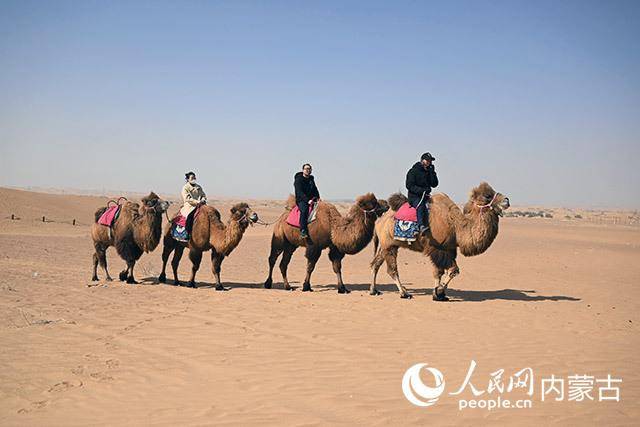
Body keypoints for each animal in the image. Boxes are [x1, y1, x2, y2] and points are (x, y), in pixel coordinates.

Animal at [262, 194, 390, 294]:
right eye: (373, 203)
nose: (387, 204)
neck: (332, 227)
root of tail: (282, 217)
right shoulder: (314, 246)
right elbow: (310, 266)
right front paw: (306, 286)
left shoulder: (334, 247)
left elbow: (337, 267)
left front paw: (342, 288)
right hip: (279, 238)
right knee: (272, 258)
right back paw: (268, 283)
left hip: (291, 245)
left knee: (283, 264)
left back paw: (288, 287)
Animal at [370, 183, 510, 300]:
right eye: (487, 196)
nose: (507, 200)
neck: (456, 226)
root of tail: (379, 221)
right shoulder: (437, 248)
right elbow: (451, 270)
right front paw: (439, 291)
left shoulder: (449, 248)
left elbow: (440, 272)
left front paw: (438, 294)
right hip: (389, 246)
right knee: (392, 270)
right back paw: (404, 293)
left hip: (386, 245)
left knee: (375, 264)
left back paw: (373, 290)